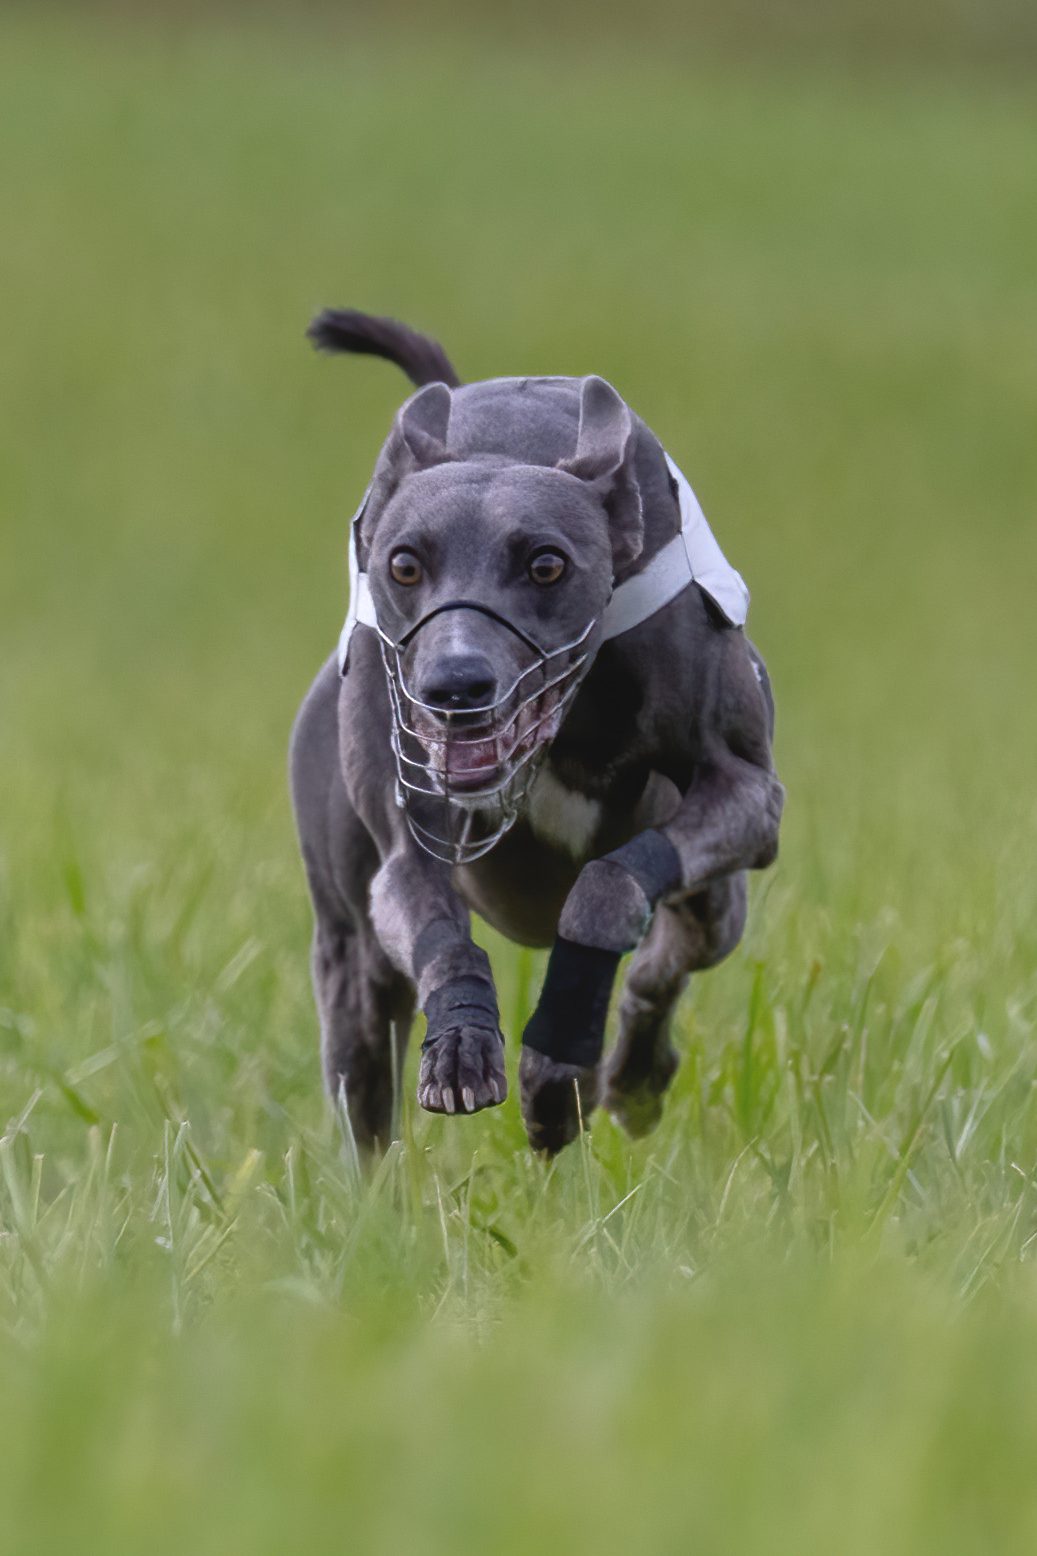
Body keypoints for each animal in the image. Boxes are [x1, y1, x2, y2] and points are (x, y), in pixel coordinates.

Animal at [286, 309, 778, 1157]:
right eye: (403, 564)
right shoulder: (402, 853)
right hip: (350, 958)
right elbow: (440, 929)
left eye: (547, 564)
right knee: (365, 1096)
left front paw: (555, 1068)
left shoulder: (748, 794)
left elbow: (608, 887)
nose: (454, 686)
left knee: (662, 964)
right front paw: (461, 1044)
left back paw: (632, 1076)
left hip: (714, 904)